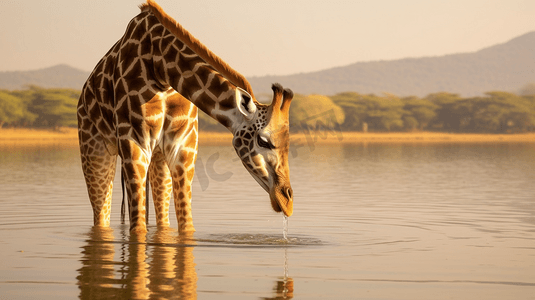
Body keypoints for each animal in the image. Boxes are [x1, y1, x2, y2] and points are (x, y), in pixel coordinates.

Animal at [78, 0, 298, 233]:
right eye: (263, 141)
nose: (287, 202)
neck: (161, 67)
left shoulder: (183, 146)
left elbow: (187, 225)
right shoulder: (134, 143)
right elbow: (137, 228)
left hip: (158, 157)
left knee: (162, 218)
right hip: (95, 149)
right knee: (101, 215)